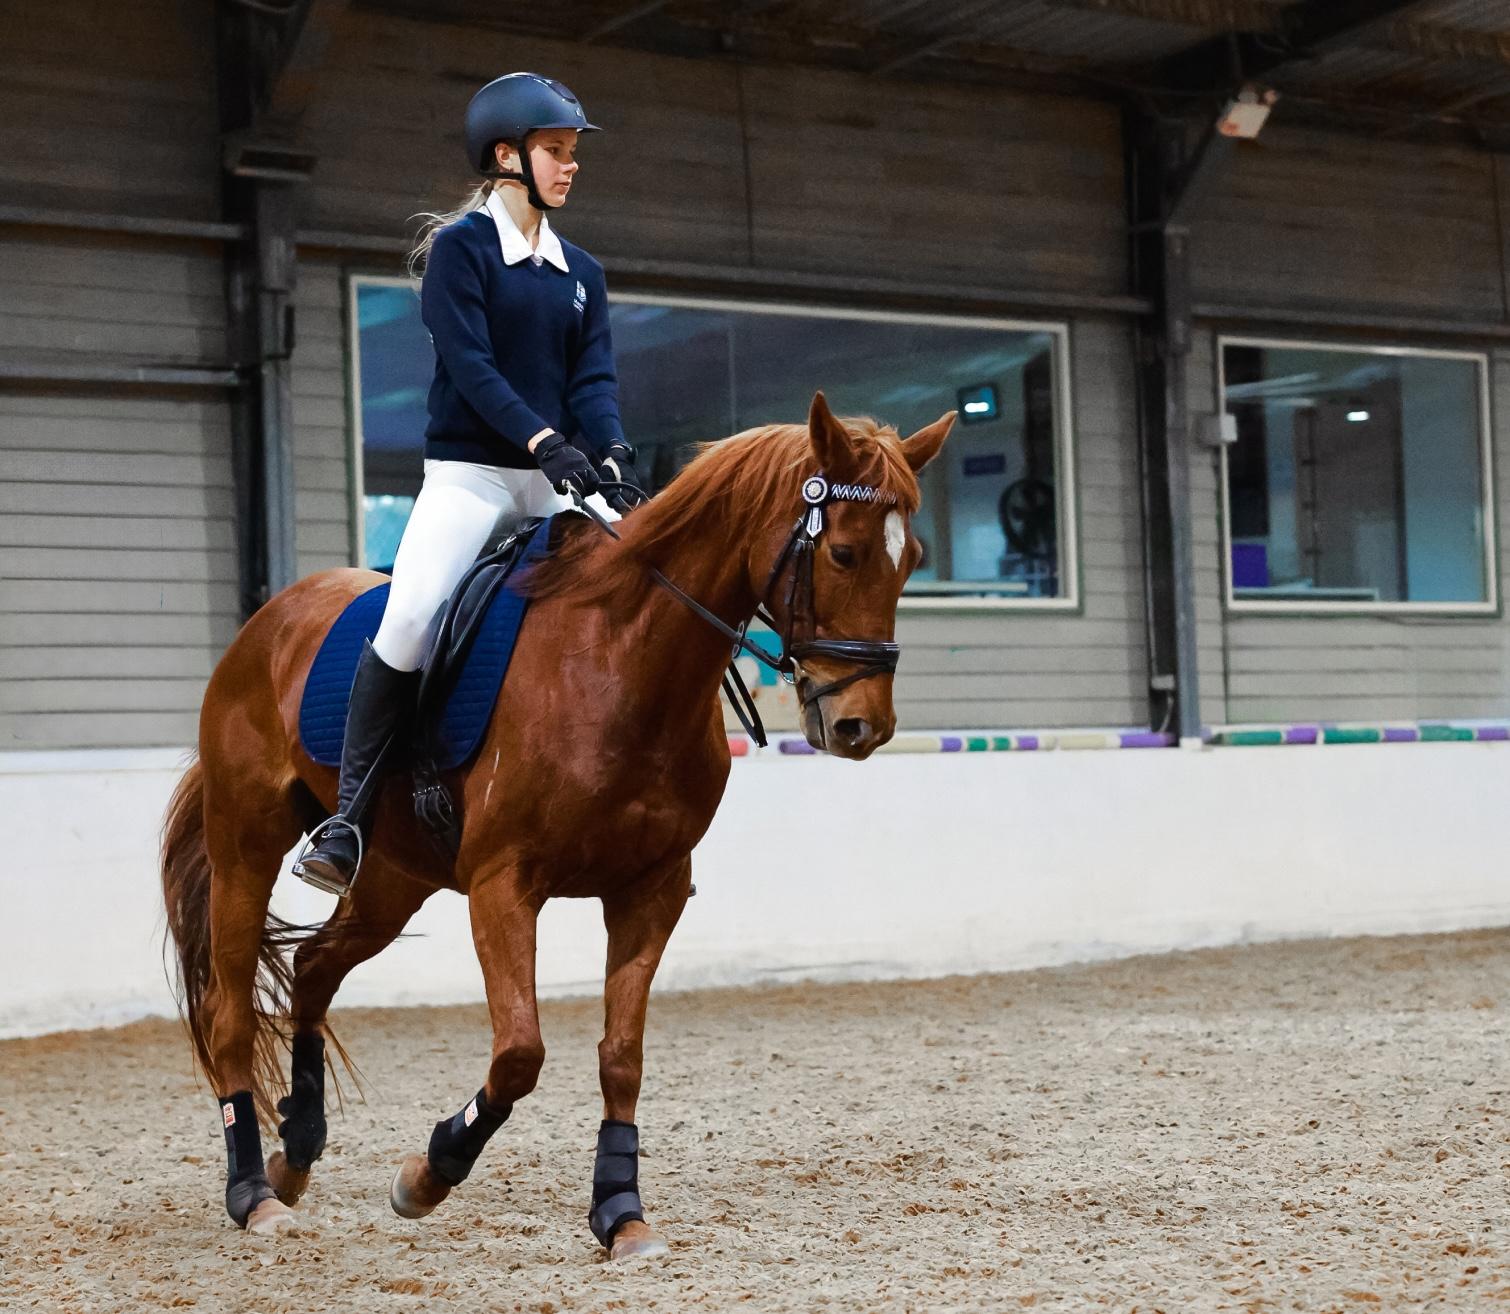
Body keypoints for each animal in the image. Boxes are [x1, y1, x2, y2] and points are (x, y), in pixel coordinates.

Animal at [159, 392, 948, 1256]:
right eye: (842, 553)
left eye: (912, 560)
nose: (862, 727)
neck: (623, 662)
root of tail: (269, 620)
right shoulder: (504, 887)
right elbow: (520, 1053)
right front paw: (428, 1173)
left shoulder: (651, 889)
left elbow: (621, 1055)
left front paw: (621, 1209)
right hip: (247, 844)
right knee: (233, 1014)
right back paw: (253, 1192)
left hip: (394, 877)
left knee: (314, 969)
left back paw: (296, 1149)